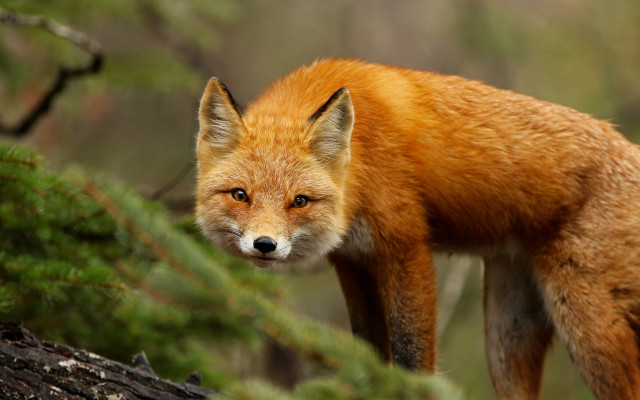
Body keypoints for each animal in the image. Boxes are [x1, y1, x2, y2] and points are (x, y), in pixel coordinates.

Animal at [195, 58, 640, 399]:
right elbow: (369, 353)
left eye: (299, 201)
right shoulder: (353, 261)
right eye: (241, 195)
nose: (265, 245)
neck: (360, 161)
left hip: (585, 324)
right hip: (507, 329)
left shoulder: (406, 249)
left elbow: (411, 358)